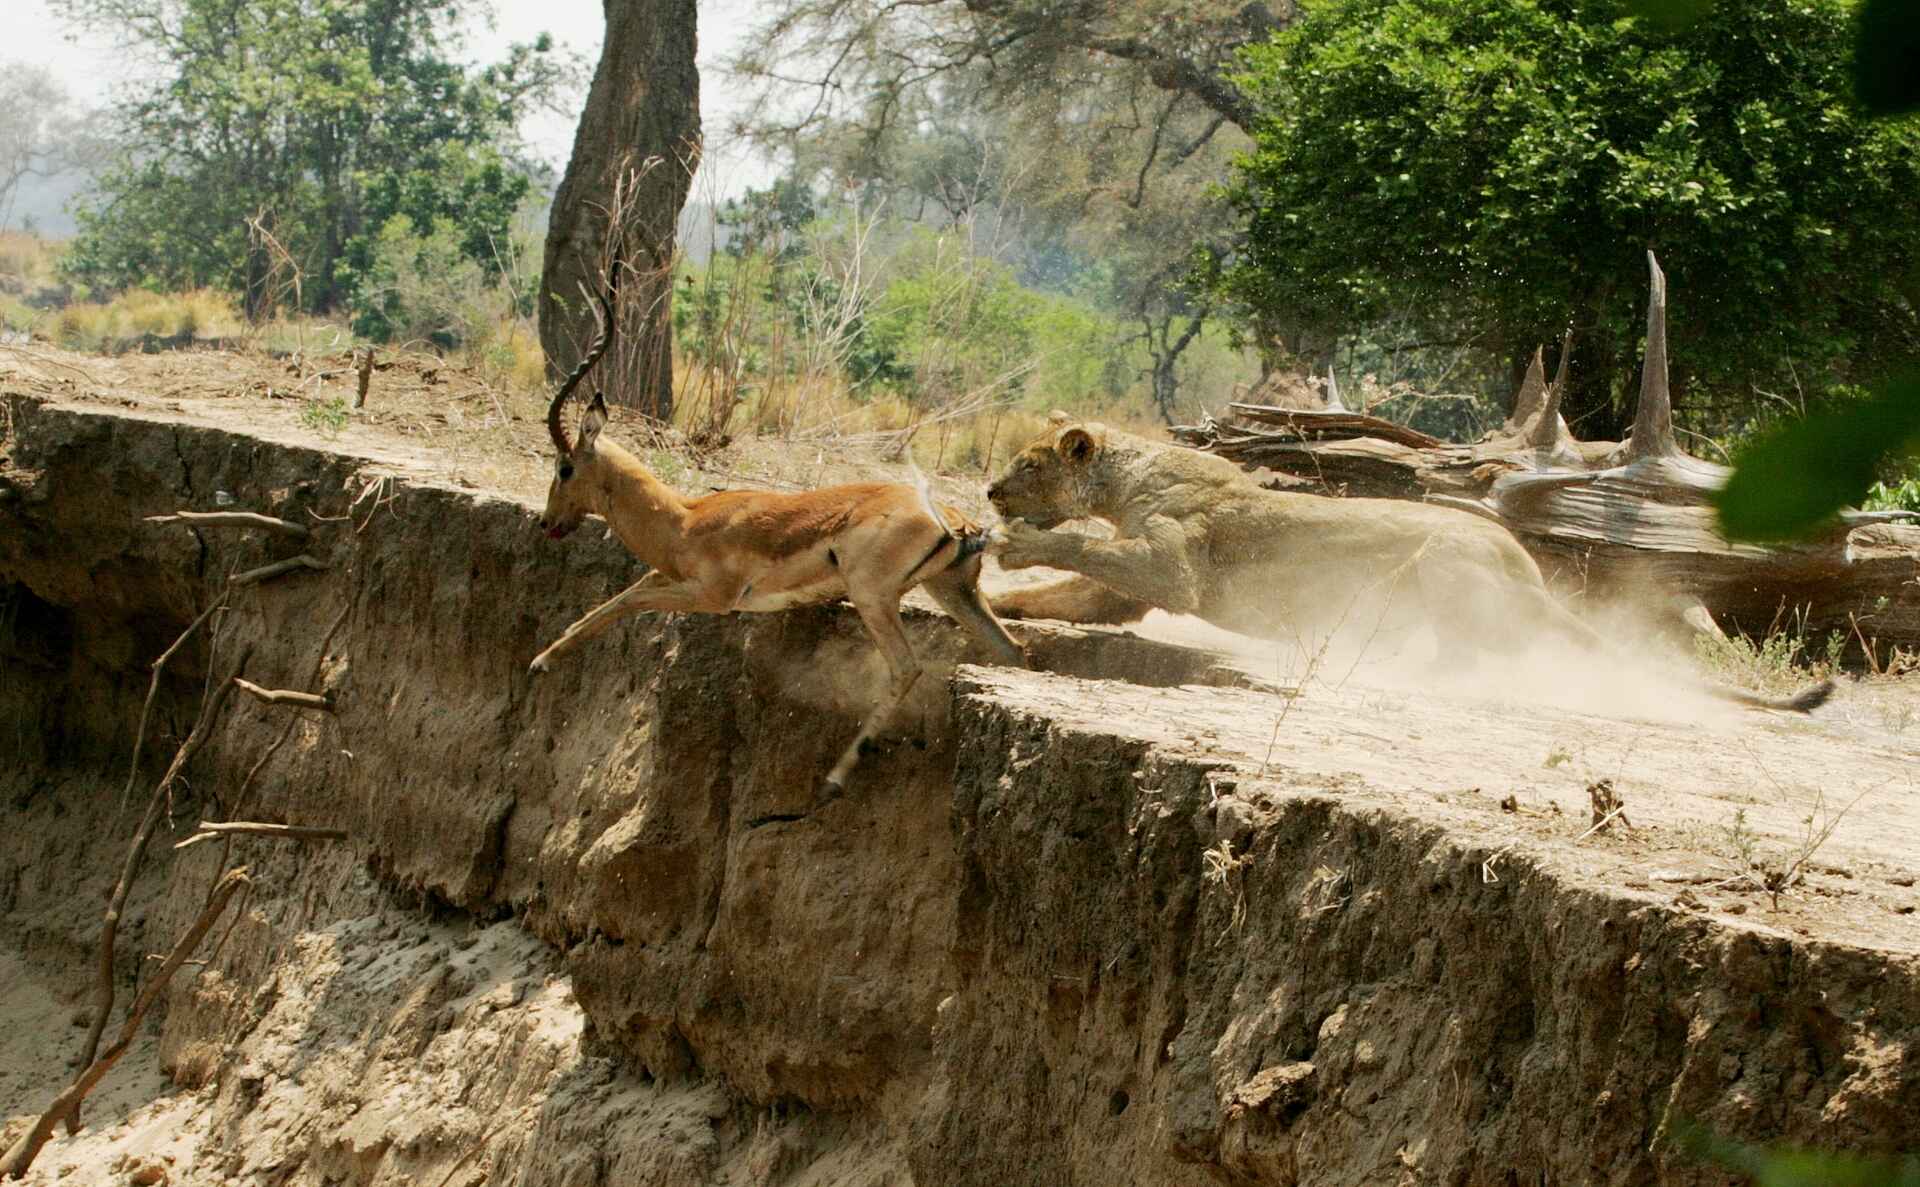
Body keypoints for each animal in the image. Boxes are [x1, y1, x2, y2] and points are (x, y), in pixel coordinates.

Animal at [529, 265, 1028, 795]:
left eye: (564, 467)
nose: (547, 523)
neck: (684, 520)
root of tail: (957, 521)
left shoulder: (715, 597)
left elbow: (629, 600)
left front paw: (541, 662)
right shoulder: (674, 576)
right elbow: (620, 595)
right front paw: (546, 655)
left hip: (873, 595)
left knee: (906, 668)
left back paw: (834, 778)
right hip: (953, 591)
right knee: (1014, 651)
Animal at [985, 414, 1833, 712]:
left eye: (1028, 463)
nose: (990, 490)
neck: (1126, 478)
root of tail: (1527, 569)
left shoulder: (1173, 566)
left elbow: (1079, 548)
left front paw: (1013, 548)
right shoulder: (1134, 582)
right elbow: (1074, 591)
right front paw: (1004, 608)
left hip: (1440, 562)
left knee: (1476, 652)